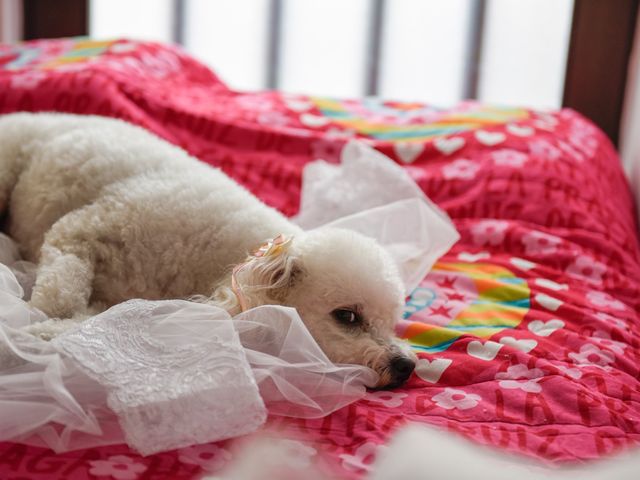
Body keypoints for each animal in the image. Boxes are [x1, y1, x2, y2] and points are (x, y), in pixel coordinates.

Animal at [0, 113, 416, 390]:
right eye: (346, 316)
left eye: (392, 323)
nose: (406, 366)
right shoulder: (84, 229)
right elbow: (60, 295)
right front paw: (34, 328)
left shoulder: (116, 296)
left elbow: (96, 322)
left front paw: (46, 334)